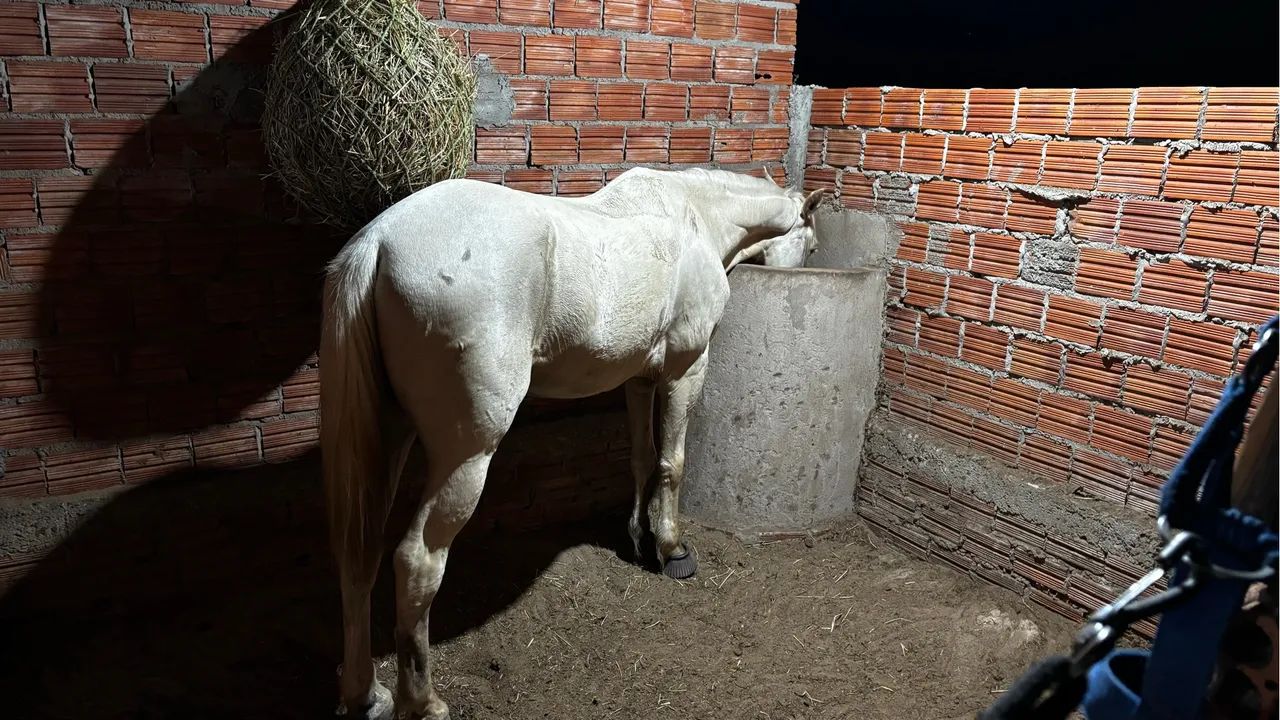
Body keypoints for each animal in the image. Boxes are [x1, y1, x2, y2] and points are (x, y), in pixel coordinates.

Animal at [320, 166, 826, 719]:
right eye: (813, 244)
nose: (809, 265)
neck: (694, 214)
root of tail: (379, 241)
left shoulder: (639, 378)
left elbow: (642, 457)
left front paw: (637, 537)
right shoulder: (686, 368)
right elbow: (672, 462)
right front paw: (672, 550)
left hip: (388, 435)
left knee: (358, 553)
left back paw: (366, 695)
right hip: (464, 457)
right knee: (417, 561)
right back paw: (424, 701)